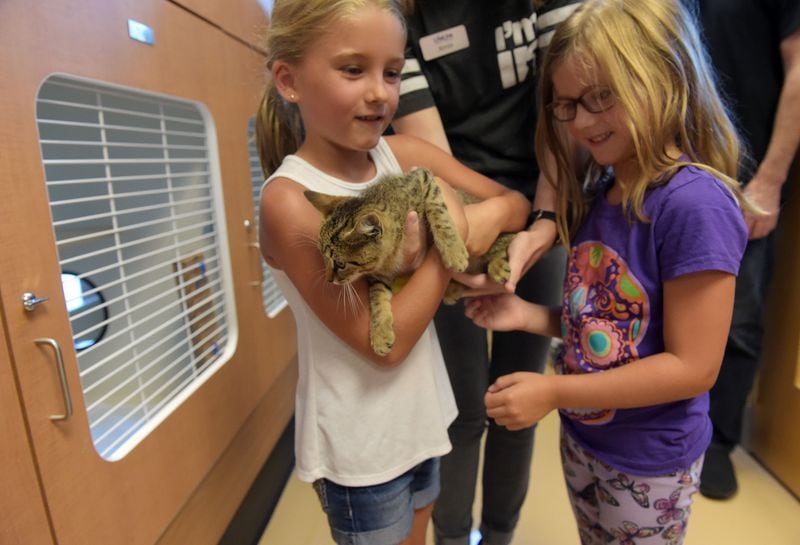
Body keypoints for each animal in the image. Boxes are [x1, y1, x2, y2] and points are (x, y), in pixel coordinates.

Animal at [306, 170, 512, 356]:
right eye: (323, 257)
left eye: (340, 264)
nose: (328, 279)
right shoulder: (378, 275)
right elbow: (377, 298)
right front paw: (380, 333)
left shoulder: (423, 178)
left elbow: (438, 211)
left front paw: (453, 250)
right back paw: (453, 289)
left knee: (508, 239)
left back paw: (497, 266)